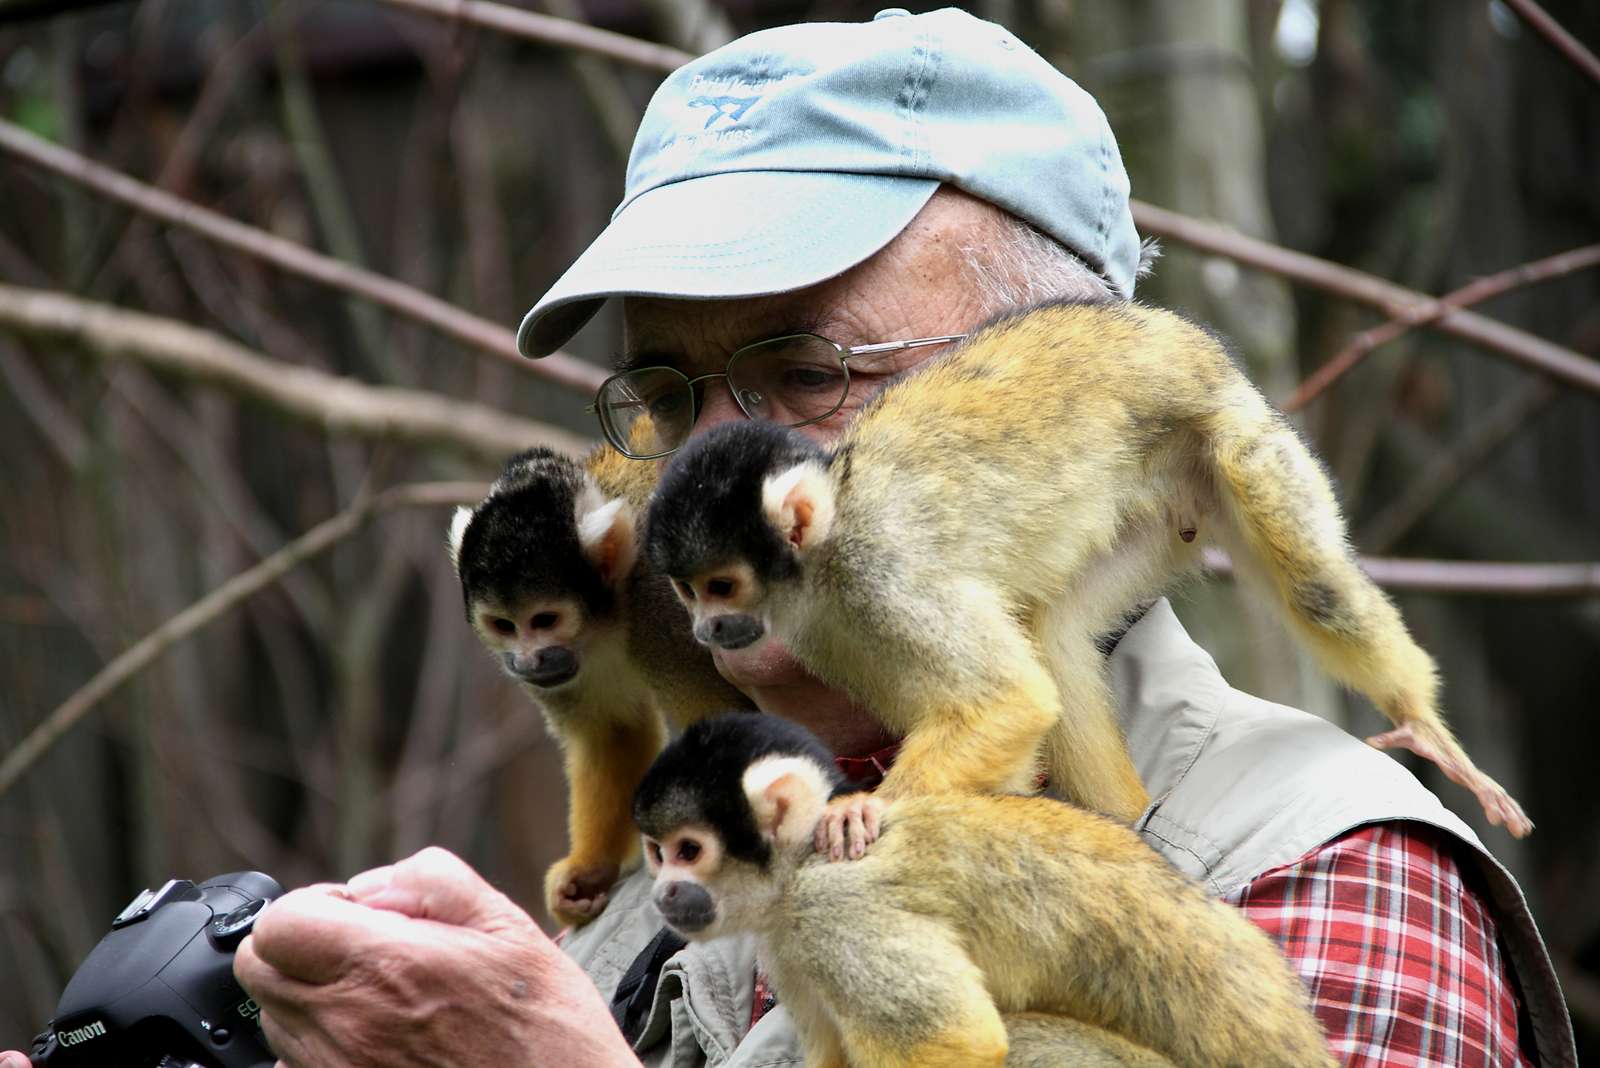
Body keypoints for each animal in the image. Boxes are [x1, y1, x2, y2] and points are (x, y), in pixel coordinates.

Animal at [451, 434, 748, 927]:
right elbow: (613, 732)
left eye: (545, 619)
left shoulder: (664, 612)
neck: (611, 611)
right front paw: (588, 872)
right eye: (504, 626)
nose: (528, 661)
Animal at [630, 713, 1331, 1068]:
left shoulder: (836, 911)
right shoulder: (788, 940)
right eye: (657, 853)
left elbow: (951, 1041)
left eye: (689, 851)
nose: (663, 894)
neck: (798, 865)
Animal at [643, 295, 1529, 837]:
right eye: (686, 592)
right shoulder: (827, 628)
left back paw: (1423, 721)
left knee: (1314, 587)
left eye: (720, 587)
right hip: (1152, 503)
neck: (825, 543)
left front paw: (866, 814)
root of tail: (1179, 338)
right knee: (1054, 630)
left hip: (1236, 439)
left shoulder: (882, 578)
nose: (706, 628)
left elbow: (1007, 700)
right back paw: (1129, 817)